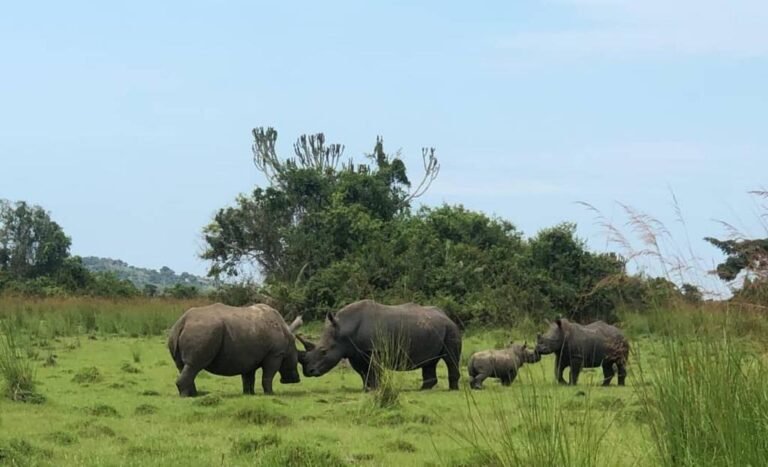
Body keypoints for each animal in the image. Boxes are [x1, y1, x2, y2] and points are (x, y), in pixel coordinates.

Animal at [167, 303, 303, 397]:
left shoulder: (249, 357)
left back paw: (195, 395)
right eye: (296, 359)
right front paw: (270, 394)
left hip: (179, 332)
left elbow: (248, 377)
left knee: (183, 366)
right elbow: (268, 375)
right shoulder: (275, 354)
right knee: (194, 365)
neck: (288, 336)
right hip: (203, 330)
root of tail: (183, 322)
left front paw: (249, 394)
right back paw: (187, 397)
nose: (295, 380)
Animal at [297, 300, 462, 391]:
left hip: (451, 329)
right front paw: (367, 389)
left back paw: (452, 390)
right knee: (429, 361)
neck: (343, 329)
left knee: (450, 359)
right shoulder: (355, 353)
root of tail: (447, 316)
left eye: (324, 351)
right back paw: (423, 389)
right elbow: (363, 372)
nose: (308, 372)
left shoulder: (374, 350)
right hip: (433, 328)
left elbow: (374, 370)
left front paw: (376, 389)